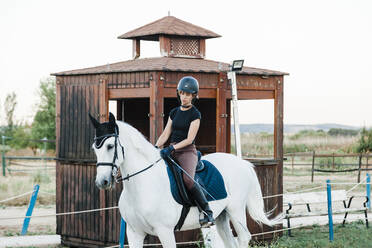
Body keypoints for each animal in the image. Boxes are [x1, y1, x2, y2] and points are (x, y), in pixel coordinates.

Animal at [90, 113, 282, 247]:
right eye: (94, 148)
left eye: (110, 146)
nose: (102, 182)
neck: (143, 186)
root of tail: (243, 163)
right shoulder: (134, 232)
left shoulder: (165, 231)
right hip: (222, 216)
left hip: (236, 210)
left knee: (243, 238)